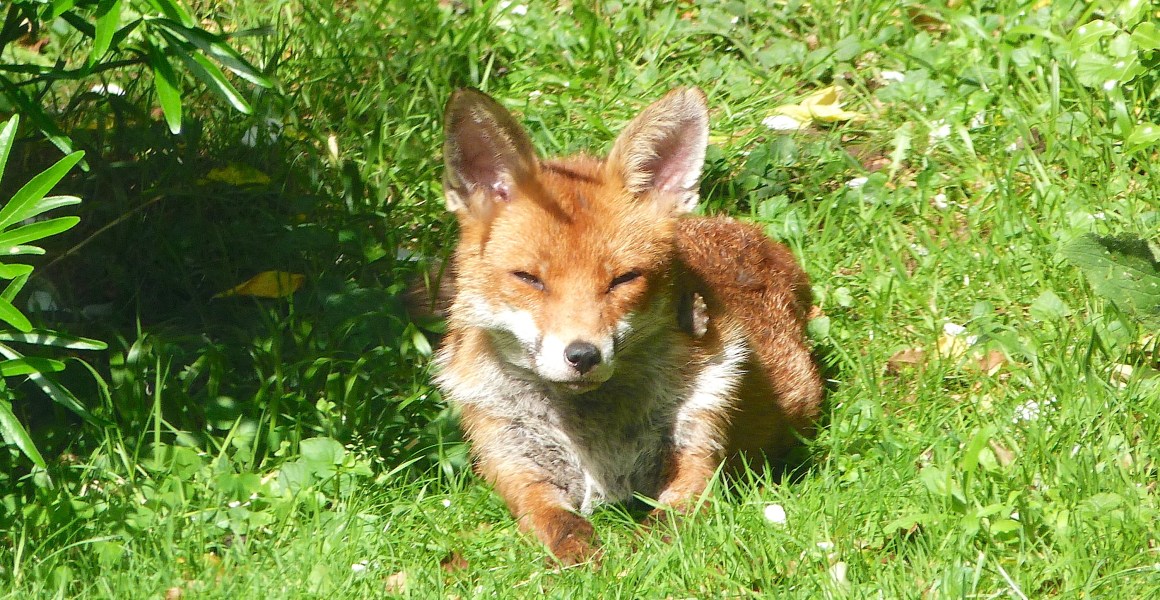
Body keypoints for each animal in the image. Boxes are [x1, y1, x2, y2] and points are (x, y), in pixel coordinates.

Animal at [434, 86, 824, 564]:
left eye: (623, 279)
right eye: (529, 278)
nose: (582, 355)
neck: (596, 434)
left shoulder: (697, 454)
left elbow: (667, 528)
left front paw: (640, 561)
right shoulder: (519, 469)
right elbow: (560, 526)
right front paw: (586, 560)